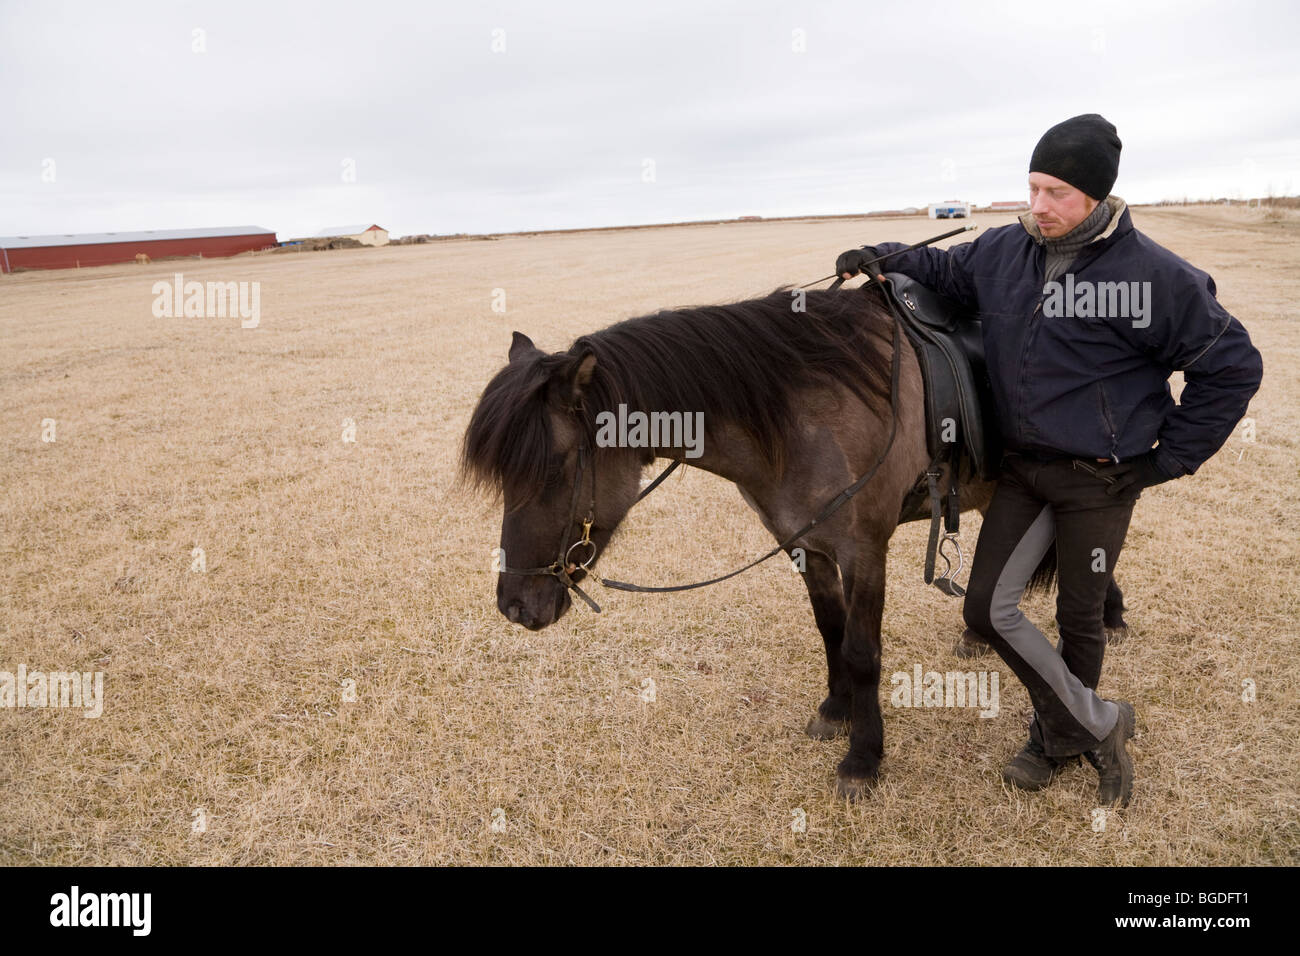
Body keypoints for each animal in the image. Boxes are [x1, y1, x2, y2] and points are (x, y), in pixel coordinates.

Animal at [460, 282, 1129, 799]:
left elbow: (862, 650)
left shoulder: (865, 551)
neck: (803, 414)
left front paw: (863, 758)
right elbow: (830, 630)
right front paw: (835, 711)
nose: (515, 605)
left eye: (555, 468)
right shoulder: (804, 546)